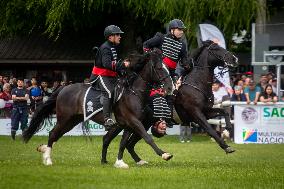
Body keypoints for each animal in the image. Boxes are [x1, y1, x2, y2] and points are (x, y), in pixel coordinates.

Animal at [22, 50, 173, 165]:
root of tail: (63, 88)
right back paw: (48, 159)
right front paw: (164, 154)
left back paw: (44, 151)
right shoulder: (133, 121)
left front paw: (119, 162)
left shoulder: (128, 124)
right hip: (64, 119)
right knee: (53, 134)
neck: (134, 93)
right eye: (159, 68)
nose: (170, 88)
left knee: (55, 135)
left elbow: (123, 142)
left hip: (72, 121)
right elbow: (147, 138)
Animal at [101, 39, 239, 167]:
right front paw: (226, 146)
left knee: (126, 143)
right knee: (115, 139)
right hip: (129, 123)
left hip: (139, 124)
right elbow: (210, 129)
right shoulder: (196, 113)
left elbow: (224, 112)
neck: (197, 84)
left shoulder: (206, 111)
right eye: (216, 48)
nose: (234, 59)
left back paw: (129, 161)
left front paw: (227, 131)